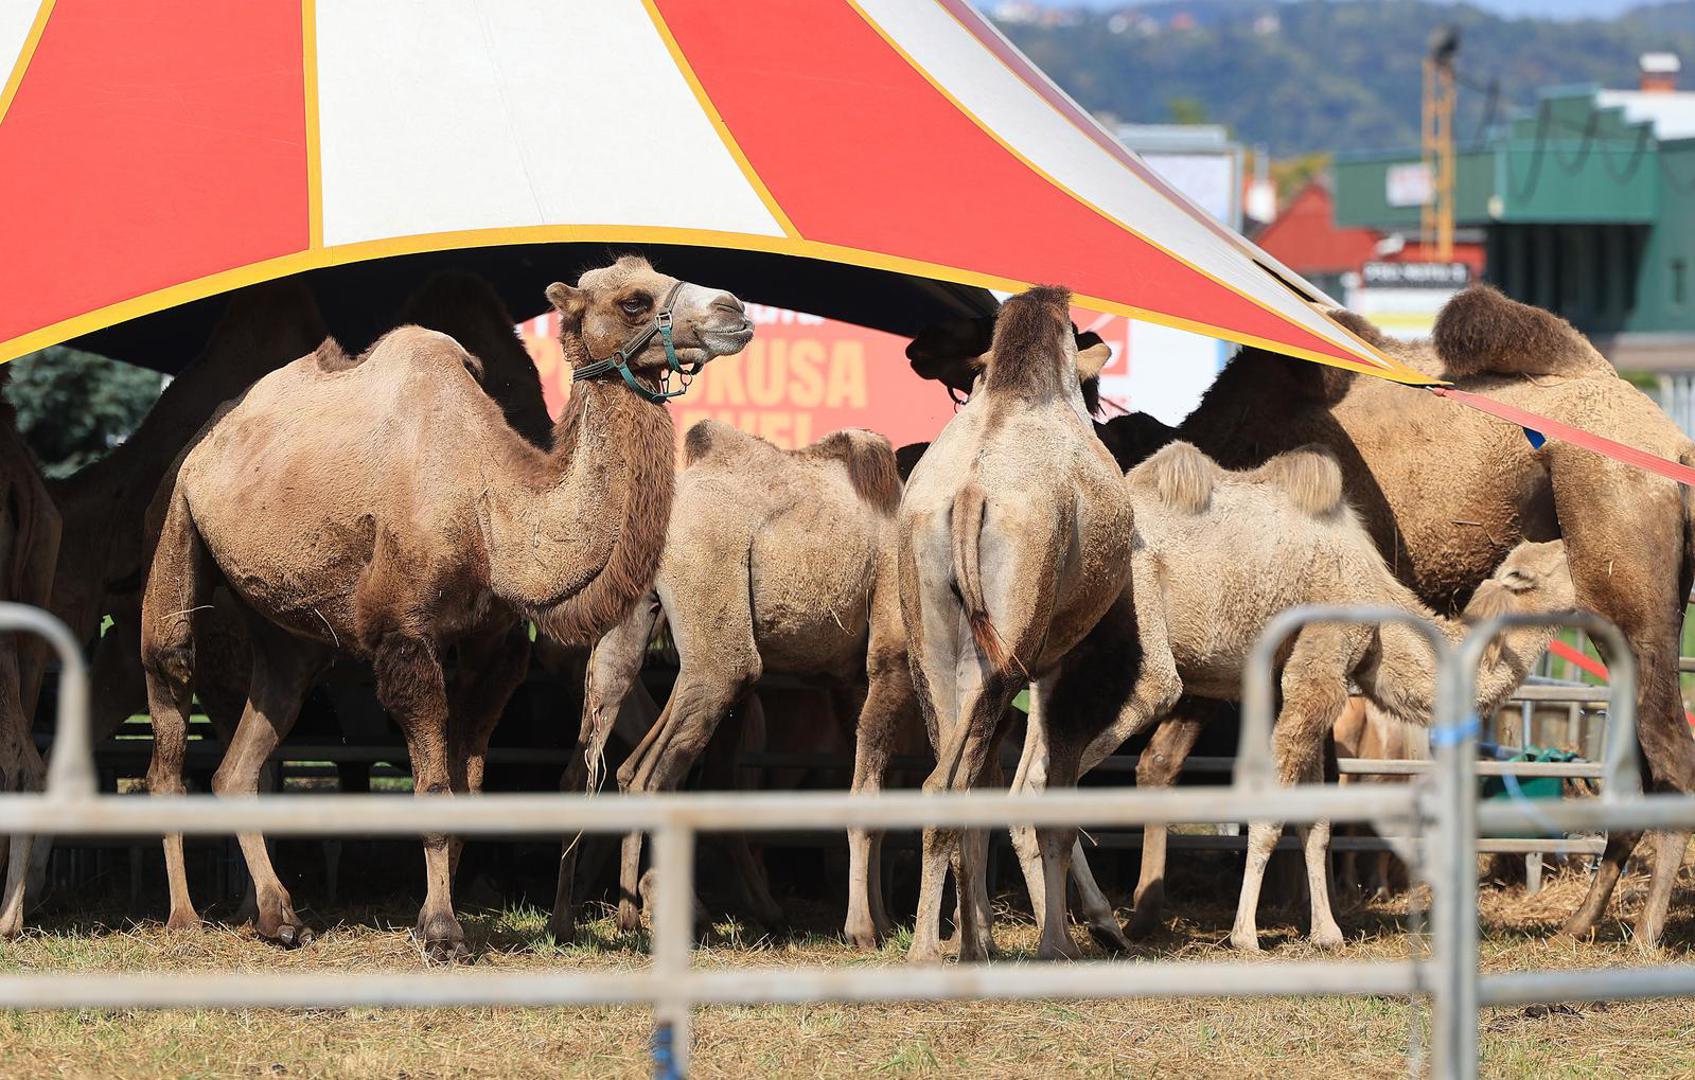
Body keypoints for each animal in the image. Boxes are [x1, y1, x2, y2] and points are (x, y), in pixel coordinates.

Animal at [142, 257, 752, 956]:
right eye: (633, 300)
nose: (734, 311)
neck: (489, 508)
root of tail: (205, 441)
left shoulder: (497, 648)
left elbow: (471, 785)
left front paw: (449, 914)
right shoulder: (406, 636)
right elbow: (433, 786)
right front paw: (440, 928)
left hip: (290, 637)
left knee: (242, 758)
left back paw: (278, 916)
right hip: (175, 533)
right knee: (169, 700)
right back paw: (184, 917)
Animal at [552, 417, 922, 949]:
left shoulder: (851, 682)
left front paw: (885, 922)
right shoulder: (889, 660)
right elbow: (867, 792)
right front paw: (864, 930)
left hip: (629, 634)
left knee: (599, 765)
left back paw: (585, 920)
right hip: (722, 654)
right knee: (653, 776)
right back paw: (666, 918)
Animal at [894, 286, 1132, 963]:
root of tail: (971, 495)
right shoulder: (1059, 665)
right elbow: (1050, 799)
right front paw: (1061, 941)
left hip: (935, 644)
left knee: (944, 781)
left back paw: (950, 948)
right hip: (1005, 650)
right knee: (964, 783)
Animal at [928, 284, 1695, 942]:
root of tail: (1666, 439)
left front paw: (1299, 916)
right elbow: (1224, 778)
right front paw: (1248, 918)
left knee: (1668, 753)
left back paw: (1633, 928)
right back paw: (1601, 923)